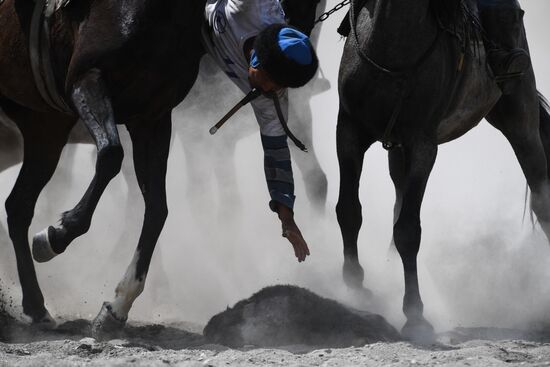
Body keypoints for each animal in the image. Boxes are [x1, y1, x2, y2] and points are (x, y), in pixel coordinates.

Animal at [338, 0, 550, 340]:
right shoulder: (348, 131)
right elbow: (348, 211)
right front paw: (354, 287)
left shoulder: (423, 144)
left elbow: (408, 230)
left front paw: (415, 315)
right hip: (396, 150)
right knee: (397, 196)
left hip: (520, 120)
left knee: (541, 196)